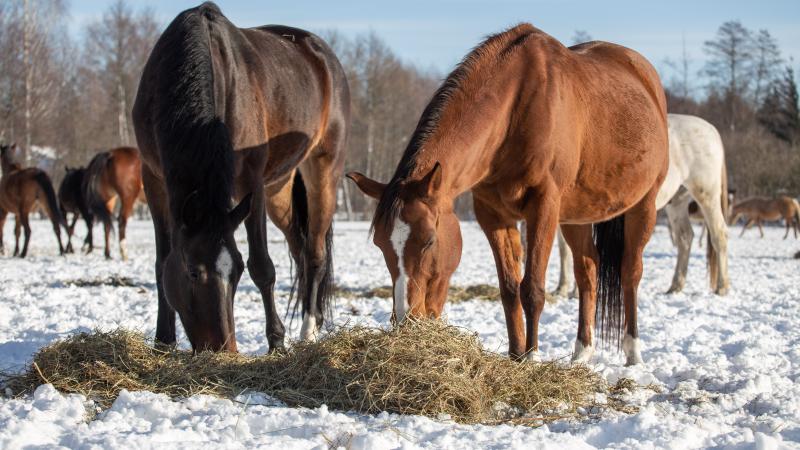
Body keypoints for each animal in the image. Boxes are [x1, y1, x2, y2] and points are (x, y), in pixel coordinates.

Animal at [132, 2, 349, 352]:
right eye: (193, 272)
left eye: (236, 271)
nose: (223, 348)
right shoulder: (153, 179)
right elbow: (161, 262)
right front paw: (163, 341)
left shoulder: (251, 181)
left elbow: (262, 266)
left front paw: (277, 342)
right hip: (279, 191)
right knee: (300, 250)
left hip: (324, 172)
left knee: (315, 254)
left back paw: (308, 331)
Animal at [349, 24, 668, 366]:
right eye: (379, 243)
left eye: (429, 241)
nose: (406, 319)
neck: (515, 110)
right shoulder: (493, 214)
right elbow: (509, 289)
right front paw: (516, 356)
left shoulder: (543, 207)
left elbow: (532, 290)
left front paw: (531, 358)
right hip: (576, 216)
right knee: (588, 272)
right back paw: (581, 353)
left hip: (643, 207)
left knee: (630, 272)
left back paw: (633, 353)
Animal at [553, 114, 730, 297]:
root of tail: (711, 130)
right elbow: (565, 250)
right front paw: (561, 289)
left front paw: (575, 292)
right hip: (677, 202)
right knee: (685, 238)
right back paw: (675, 286)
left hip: (707, 195)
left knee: (719, 235)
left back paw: (722, 287)